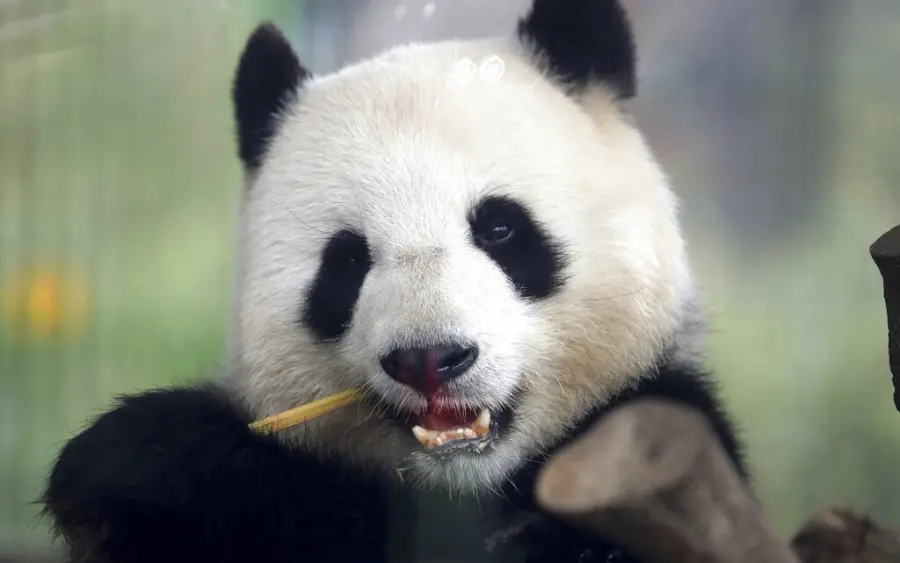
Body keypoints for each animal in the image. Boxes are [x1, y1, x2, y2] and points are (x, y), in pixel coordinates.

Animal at [41, 1, 748, 562]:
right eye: (347, 261)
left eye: (499, 228)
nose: (429, 359)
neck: (464, 481)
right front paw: (144, 462)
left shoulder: (662, 441)